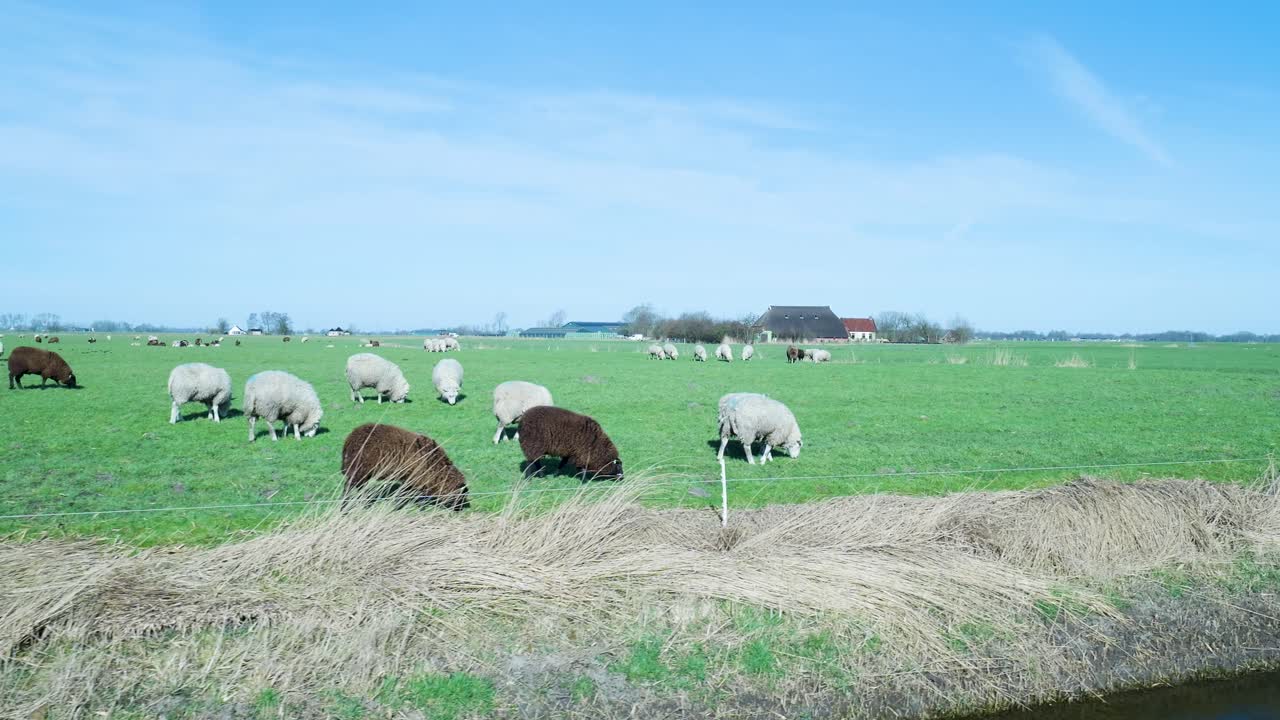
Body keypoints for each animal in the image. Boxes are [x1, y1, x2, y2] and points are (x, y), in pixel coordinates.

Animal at [341, 423, 469, 511]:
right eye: (461, 495)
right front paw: (398, 506)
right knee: (348, 488)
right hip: (358, 469)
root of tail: (349, 439)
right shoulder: (413, 477)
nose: (460, 509)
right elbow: (405, 494)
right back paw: (345, 507)